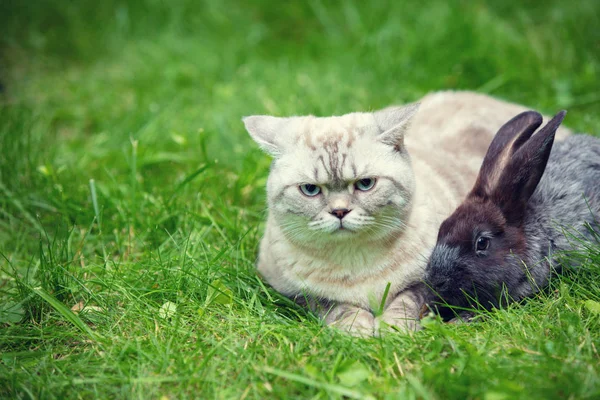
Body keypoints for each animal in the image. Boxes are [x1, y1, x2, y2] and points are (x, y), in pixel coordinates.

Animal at [244, 90, 572, 334]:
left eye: (365, 184)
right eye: (311, 190)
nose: (339, 212)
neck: (356, 260)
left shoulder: (429, 282)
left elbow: (406, 303)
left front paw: (391, 331)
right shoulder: (297, 293)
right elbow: (338, 308)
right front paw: (359, 331)